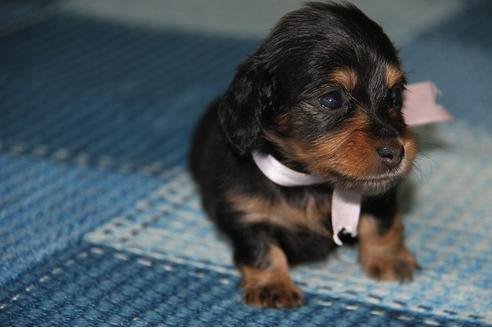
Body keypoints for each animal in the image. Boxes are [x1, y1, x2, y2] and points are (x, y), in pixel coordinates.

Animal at [188, 1, 418, 308]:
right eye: (331, 99)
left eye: (395, 95)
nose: (396, 152)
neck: (310, 182)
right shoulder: (246, 211)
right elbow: (262, 248)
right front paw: (272, 285)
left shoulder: (380, 193)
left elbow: (381, 223)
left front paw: (389, 257)